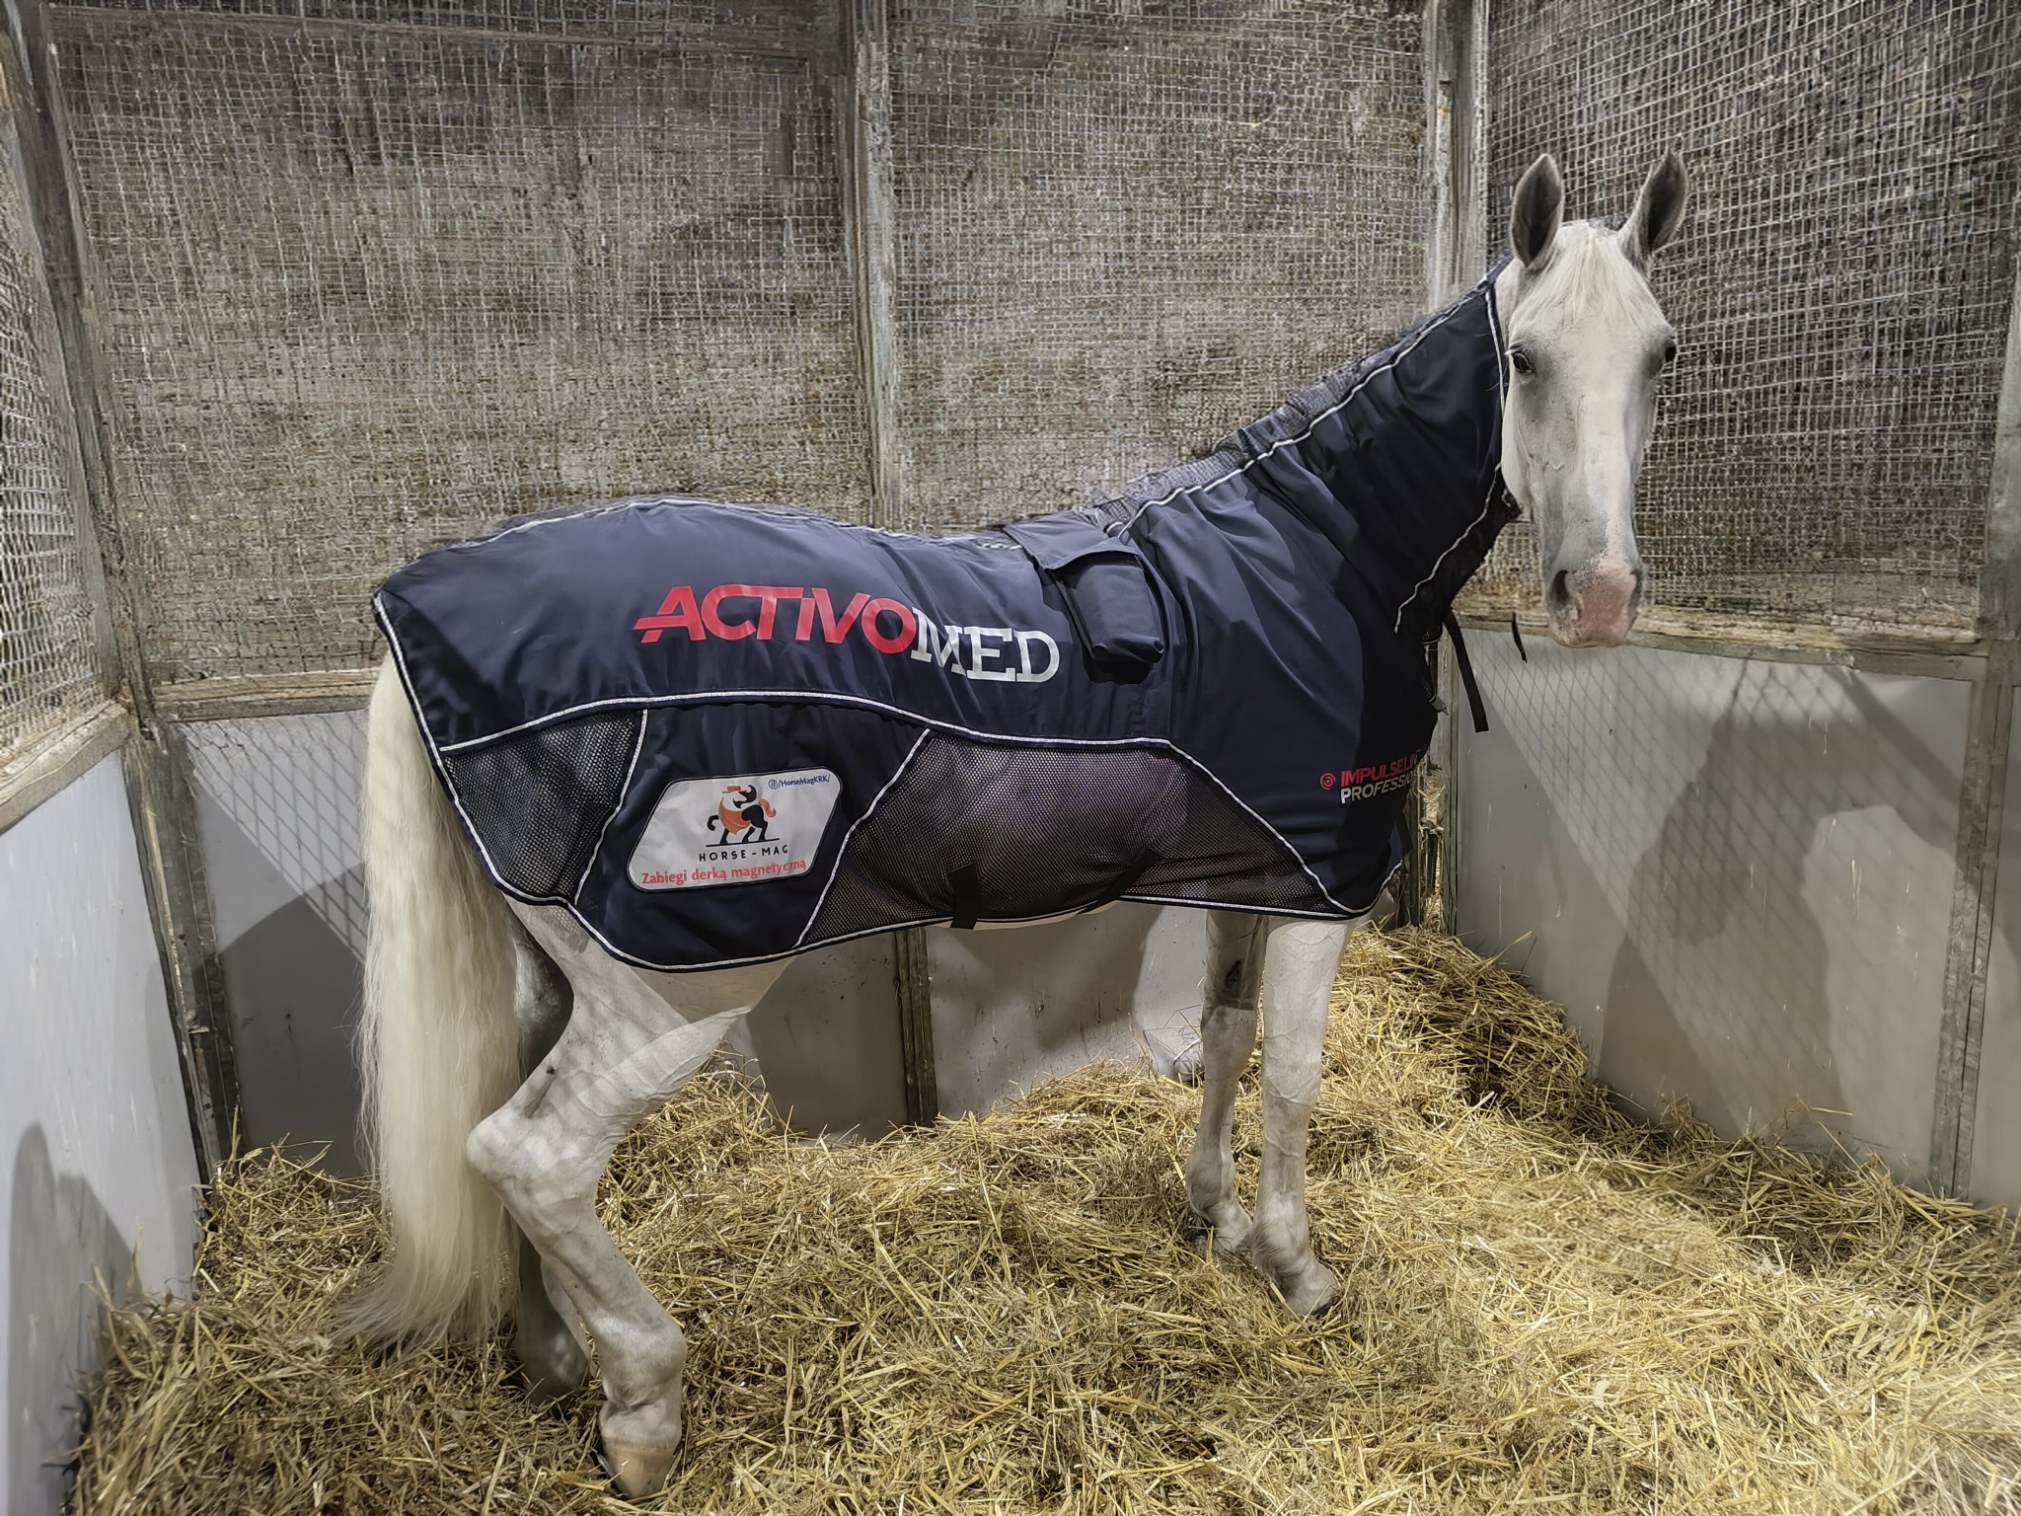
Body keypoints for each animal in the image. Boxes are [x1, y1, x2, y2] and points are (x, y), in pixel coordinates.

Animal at [347, 151, 1687, 1496]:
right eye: (1525, 359)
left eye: (1660, 354)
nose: (1598, 597)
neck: (1313, 549)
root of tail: (422, 610)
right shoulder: (1321, 880)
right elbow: (1297, 1073)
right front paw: (1296, 1265)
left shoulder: (1247, 876)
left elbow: (1225, 1034)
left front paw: (1212, 1212)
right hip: (669, 982)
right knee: (533, 1157)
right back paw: (641, 1404)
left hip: (564, 972)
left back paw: (551, 1355)